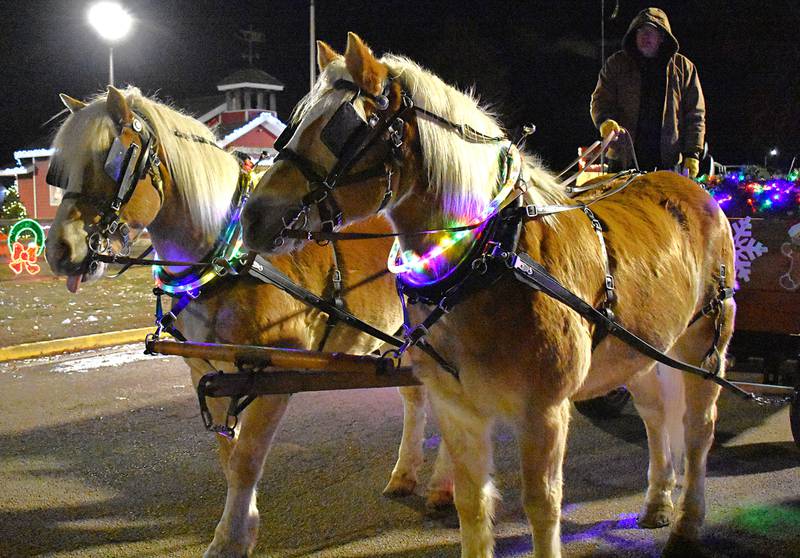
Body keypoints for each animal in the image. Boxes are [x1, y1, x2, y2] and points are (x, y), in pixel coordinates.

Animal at [43, 85, 453, 557]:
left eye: (112, 160)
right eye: (61, 172)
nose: (59, 251)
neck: (228, 260)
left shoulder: (275, 371)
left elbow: (247, 458)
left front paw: (231, 538)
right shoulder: (206, 369)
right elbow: (229, 456)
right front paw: (242, 526)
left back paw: (443, 486)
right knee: (416, 398)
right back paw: (405, 474)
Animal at [241, 34, 735, 558]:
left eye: (339, 128)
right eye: (293, 124)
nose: (253, 217)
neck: (488, 259)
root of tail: (690, 185)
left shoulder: (544, 411)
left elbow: (542, 505)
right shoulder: (458, 407)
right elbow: (472, 504)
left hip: (704, 343)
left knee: (698, 430)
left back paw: (686, 522)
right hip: (638, 349)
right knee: (655, 414)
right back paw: (658, 500)